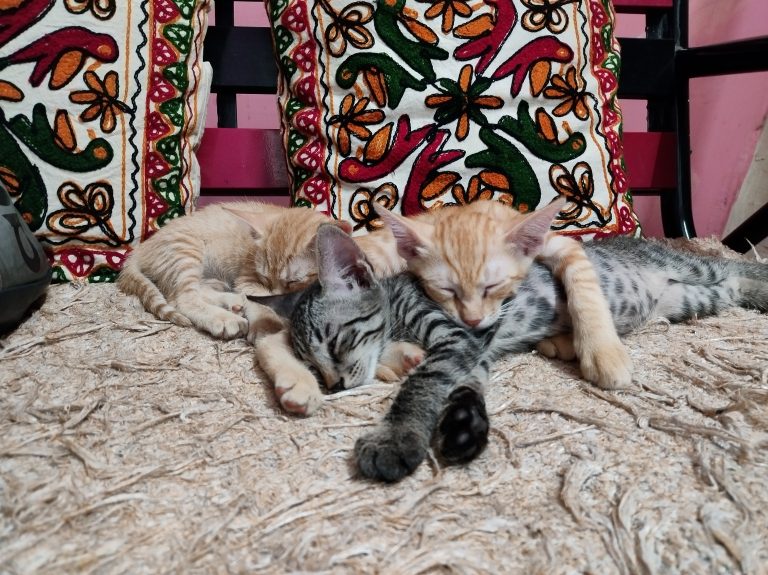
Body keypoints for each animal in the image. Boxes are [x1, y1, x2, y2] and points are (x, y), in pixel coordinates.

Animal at [254, 225, 768, 482]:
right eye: (314, 369)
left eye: (335, 343)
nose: (336, 384)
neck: (398, 302)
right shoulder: (472, 352)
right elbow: (463, 385)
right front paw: (464, 425)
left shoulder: (456, 336)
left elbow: (421, 385)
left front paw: (396, 439)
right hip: (695, 300)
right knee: (733, 286)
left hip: (694, 270)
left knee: (735, 267)